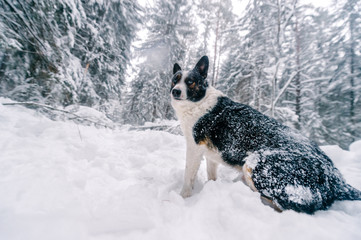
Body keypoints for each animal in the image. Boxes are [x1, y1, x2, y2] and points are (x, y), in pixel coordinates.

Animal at [170, 55, 360, 214]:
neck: (199, 102)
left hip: (254, 163)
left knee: (284, 205)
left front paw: (182, 197)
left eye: (190, 81)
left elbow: (188, 177)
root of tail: (336, 178)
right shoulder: (210, 153)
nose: (175, 91)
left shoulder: (194, 148)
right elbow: (211, 174)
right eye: (175, 80)